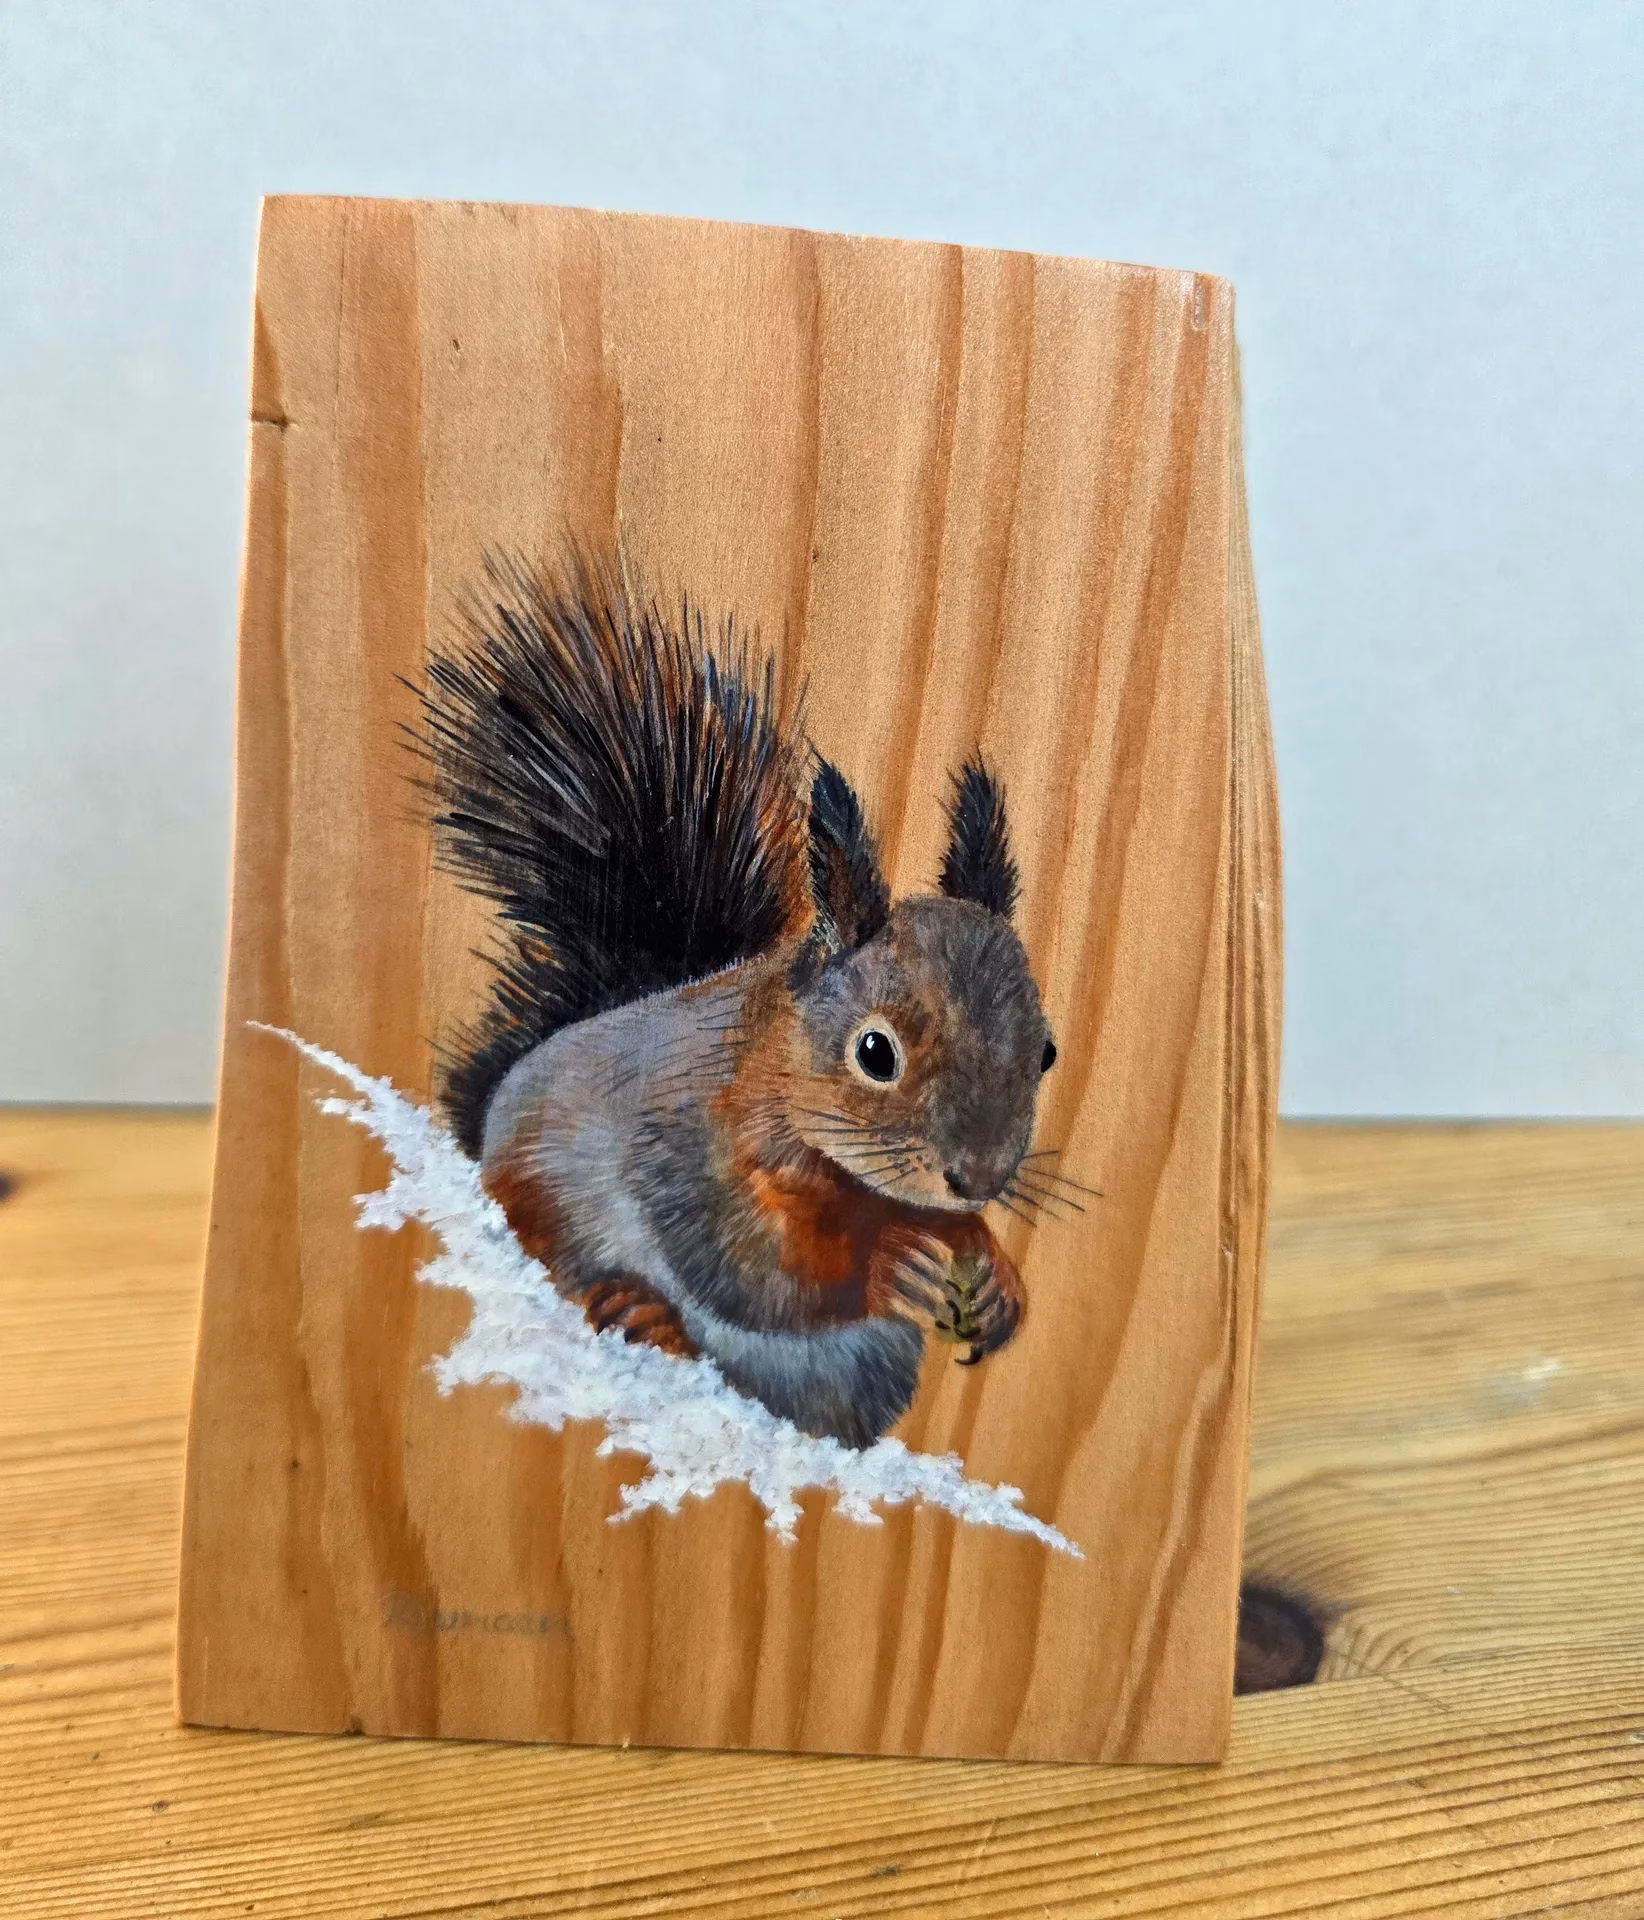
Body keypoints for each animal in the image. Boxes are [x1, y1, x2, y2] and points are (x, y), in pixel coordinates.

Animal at [414, 554, 1062, 1449]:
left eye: (1048, 1052)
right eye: (875, 1052)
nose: (977, 1178)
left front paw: (994, 1276)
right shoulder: (686, 1151)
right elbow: (757, 1275)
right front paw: (895, 1264)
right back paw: (639, 1312)